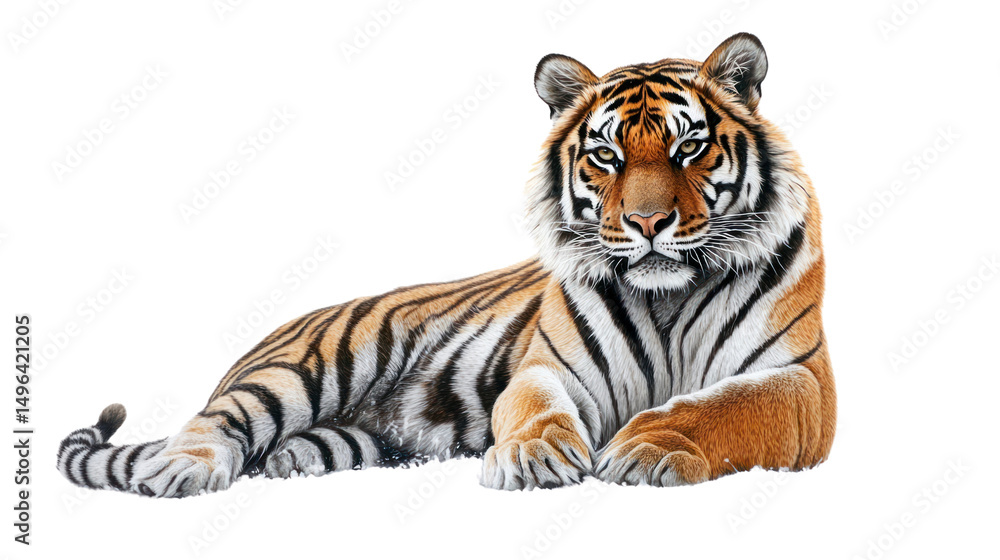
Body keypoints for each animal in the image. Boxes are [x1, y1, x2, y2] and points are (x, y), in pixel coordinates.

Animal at [57, 32, 835, 497]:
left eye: (687, 148)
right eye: (607, 155)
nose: (647, 224)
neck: (665, 296)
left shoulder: (798, 379)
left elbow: (727, 406)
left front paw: (647, 446)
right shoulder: (550, 368)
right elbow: (533, 408)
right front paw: (534, 456)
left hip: (360, 435)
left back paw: (285, 462)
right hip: (300, 368)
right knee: (215, 419)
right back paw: (178, 471)